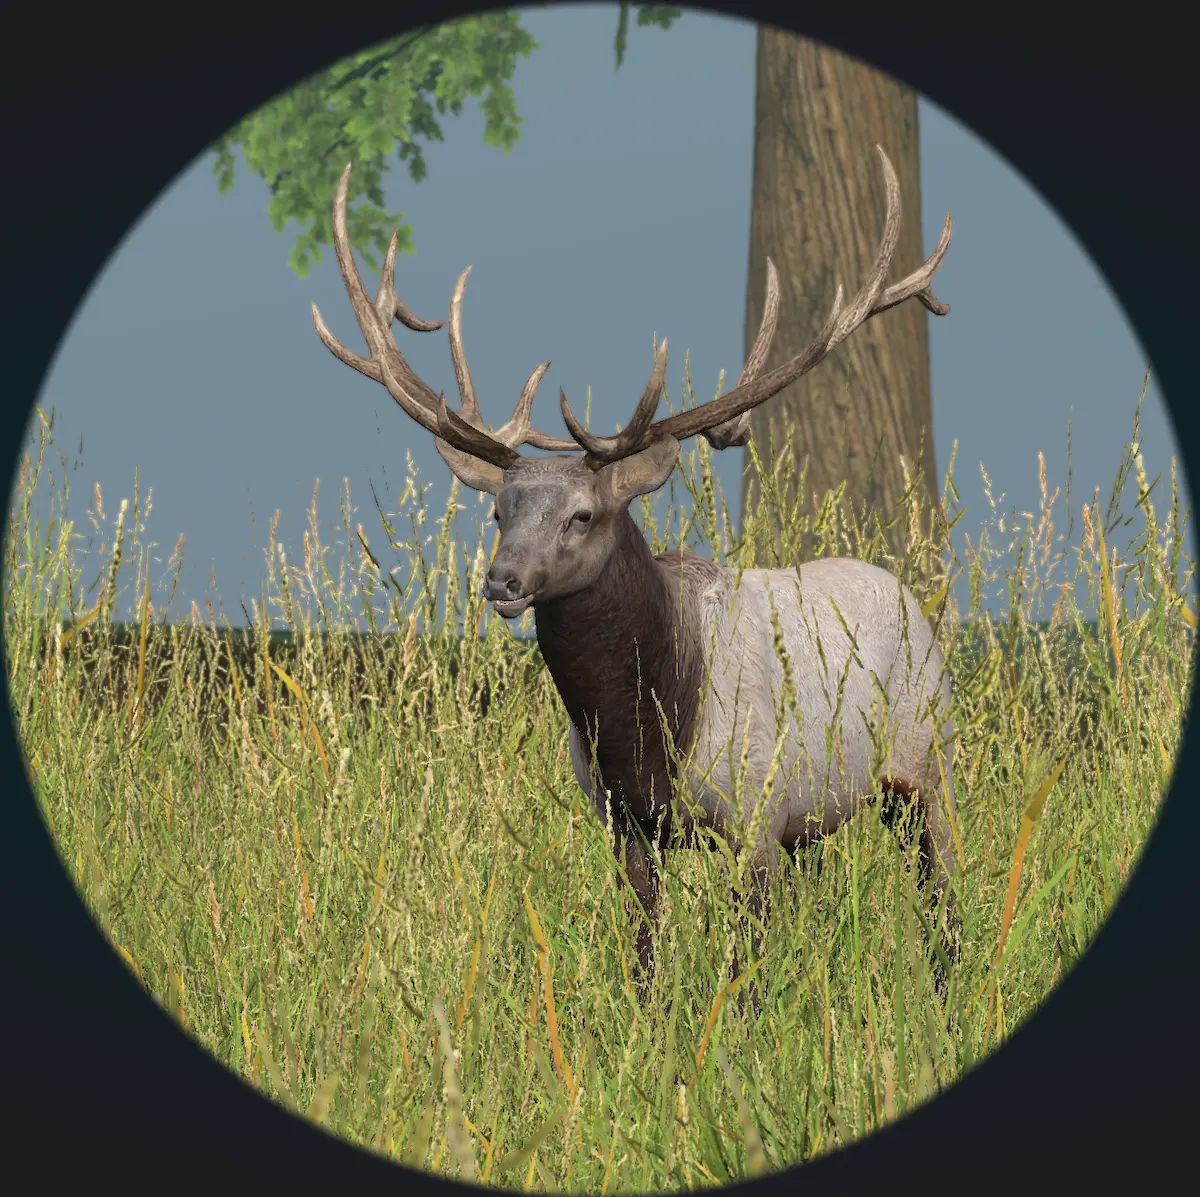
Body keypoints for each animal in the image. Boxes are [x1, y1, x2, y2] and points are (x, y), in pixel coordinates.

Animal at [312, 146, 961, 998]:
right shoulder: (625, 822)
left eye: (583, 515)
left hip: (927, 759)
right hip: (820, 816)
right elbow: (643, 953)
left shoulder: (756, 812)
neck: (646, 735)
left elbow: (742, 973)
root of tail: (910, 596)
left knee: (941, 896)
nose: (502, 582)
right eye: (499, 512)